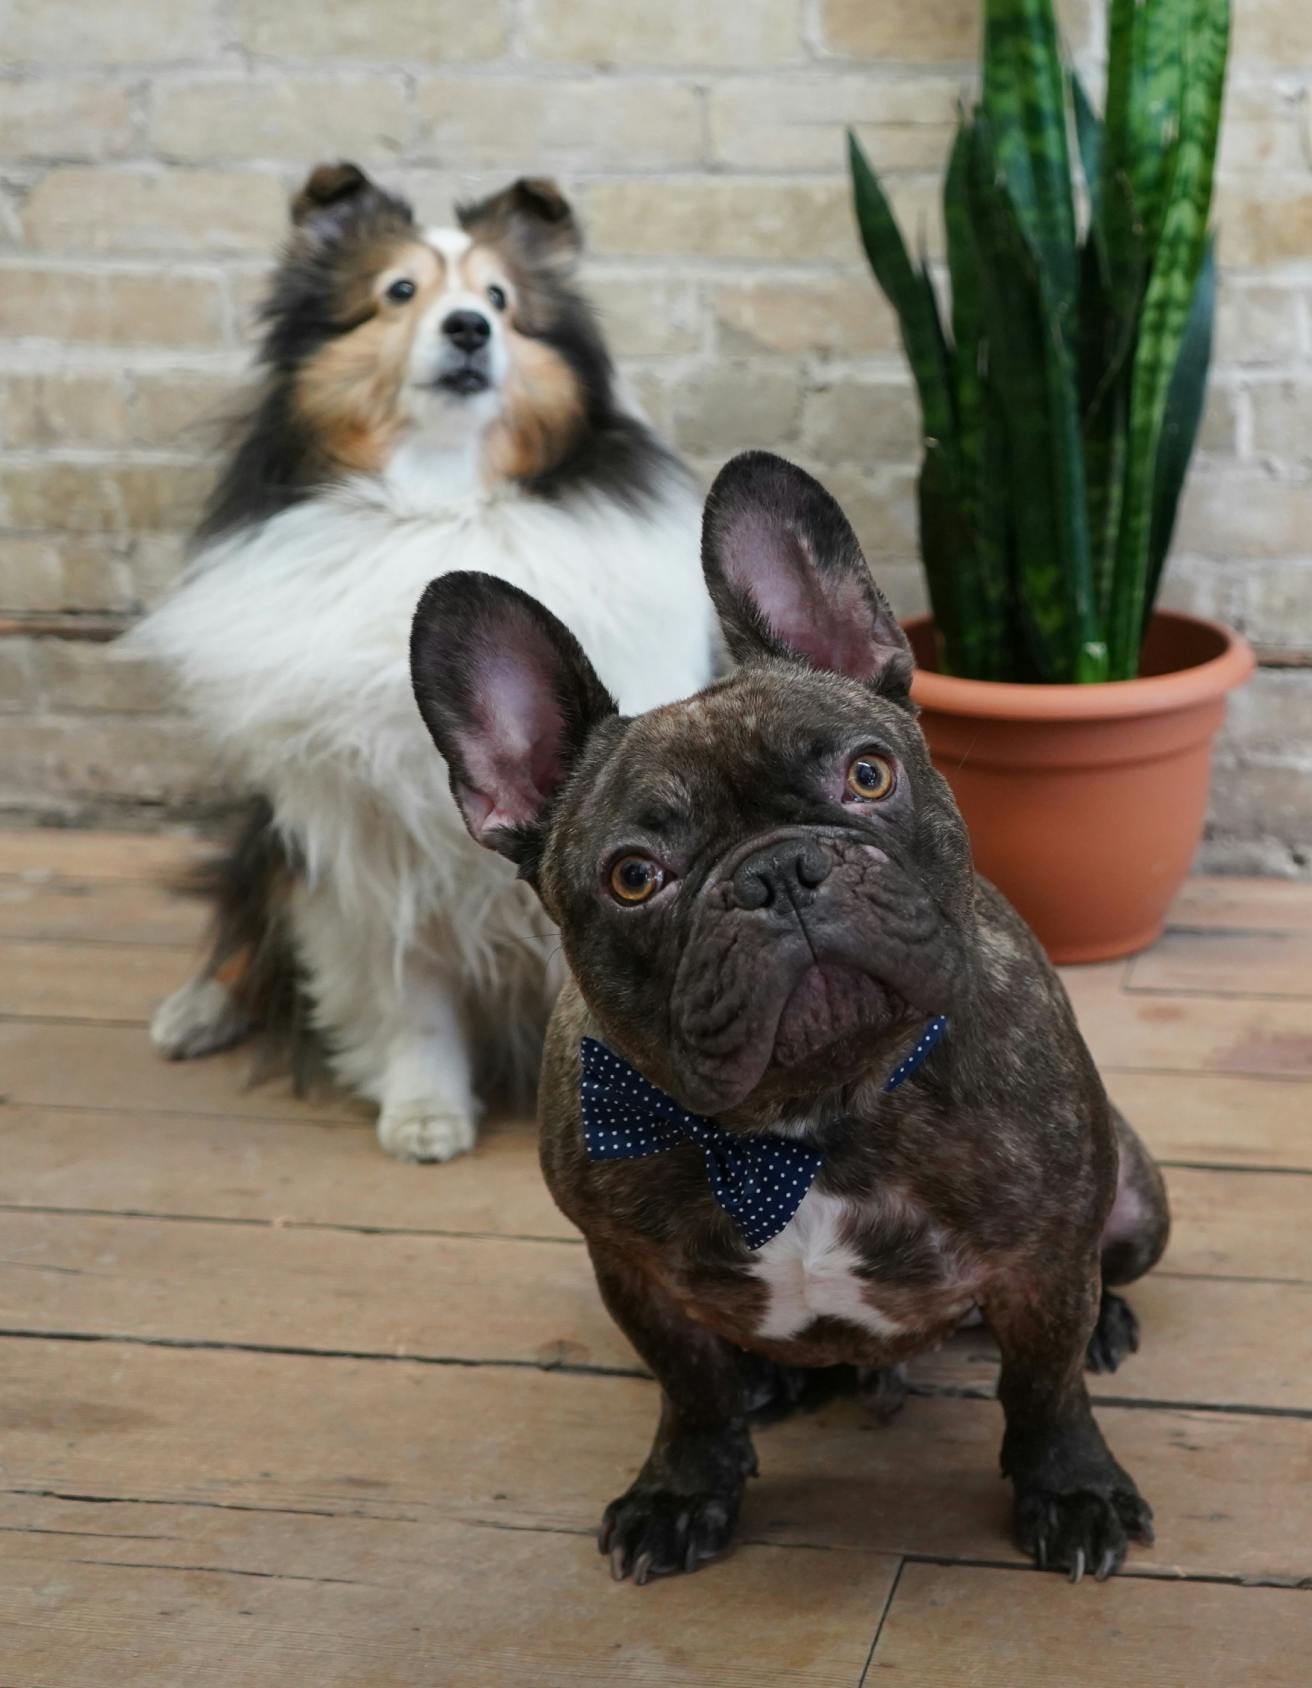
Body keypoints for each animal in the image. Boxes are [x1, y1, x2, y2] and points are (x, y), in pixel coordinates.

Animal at [133, 161, 715, 1161]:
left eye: (501, 297)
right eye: (399, 292)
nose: (469, 328)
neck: (443, 506)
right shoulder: (364, 837)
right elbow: (409, 993)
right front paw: (424, 1110)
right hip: (273, 826)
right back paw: (198, 1009)